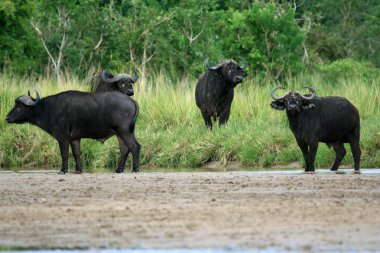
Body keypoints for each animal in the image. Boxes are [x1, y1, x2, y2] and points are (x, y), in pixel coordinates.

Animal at [6, 89, 141, 174]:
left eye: (19, 107)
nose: (7, 118)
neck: (50, 108)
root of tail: (131, 101)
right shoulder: (74, 138)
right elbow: (76, 153)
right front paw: (78, 169)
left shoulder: (62, 137)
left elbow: (64, 154)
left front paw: (63, 170)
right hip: (120, 133)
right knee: (124, 149)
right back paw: (119, 170)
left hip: (124, 131)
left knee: (135, 146)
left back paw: (135, 169)